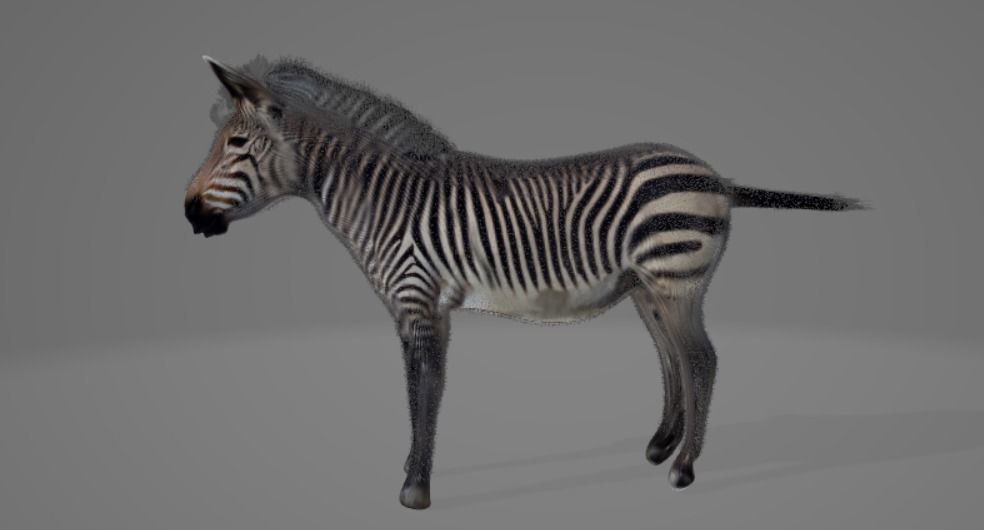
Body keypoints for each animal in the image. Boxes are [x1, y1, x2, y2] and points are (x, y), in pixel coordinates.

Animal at [183, 55, 867, 510]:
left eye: (236, 143)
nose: (188, 214)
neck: (385, 199)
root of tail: (715, 176)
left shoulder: (420, 302)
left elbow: (425, 389)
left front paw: (415, 487)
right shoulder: (414, 309)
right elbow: (413, 388)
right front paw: (409, 469)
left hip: (674, 280)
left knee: (701, 359)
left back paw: (685, 468)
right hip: (651, 288)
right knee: (673, 357)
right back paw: (660, 446)